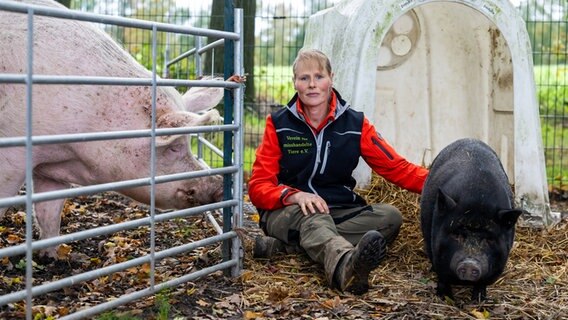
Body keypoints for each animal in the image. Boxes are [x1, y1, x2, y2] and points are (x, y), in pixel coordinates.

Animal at [0, 0, 231, 256]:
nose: (220, 186)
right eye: (174, 147)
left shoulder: (51, 171)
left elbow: (49, 213)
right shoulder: (12, 149)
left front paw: (49, 257)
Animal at [420, 139, 524, 302]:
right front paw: (444, 297)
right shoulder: (435, 247)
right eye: (456, 235)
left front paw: (479, 299)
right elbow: (442, 276)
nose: (470, 264)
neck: (478, 198)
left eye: (489, 239)